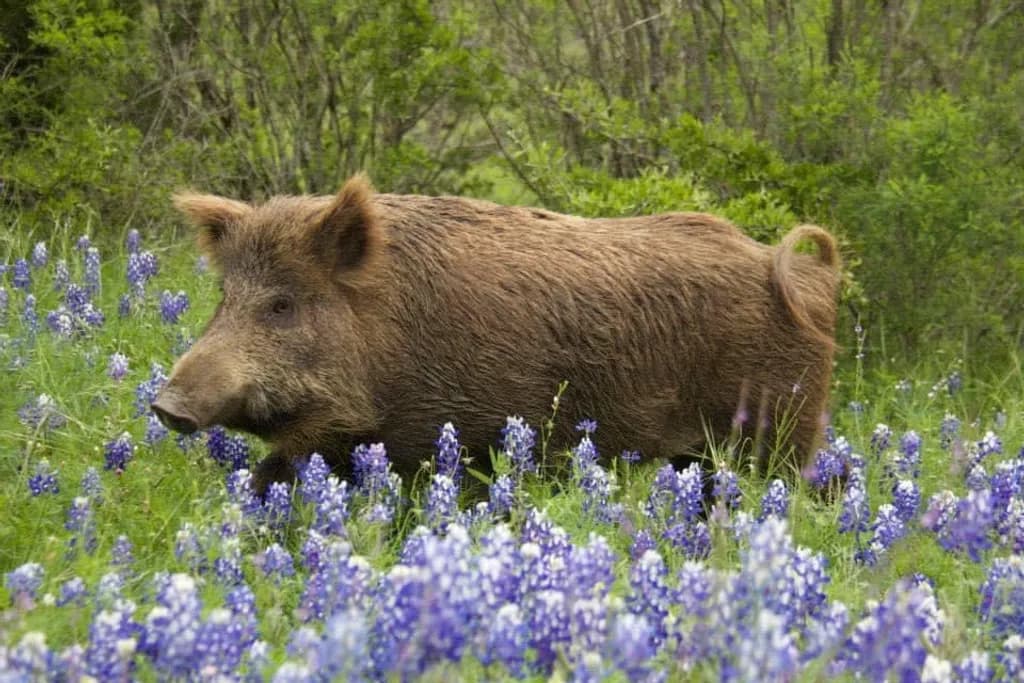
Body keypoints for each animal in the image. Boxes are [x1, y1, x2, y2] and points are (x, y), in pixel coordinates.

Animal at [152, 175, 840, 491]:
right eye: (225, 296)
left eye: (283, 305)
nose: (166, 406)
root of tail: (805, 275)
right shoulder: (332, 445)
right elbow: (268, 481)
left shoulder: (446, 439)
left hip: (776, 431)